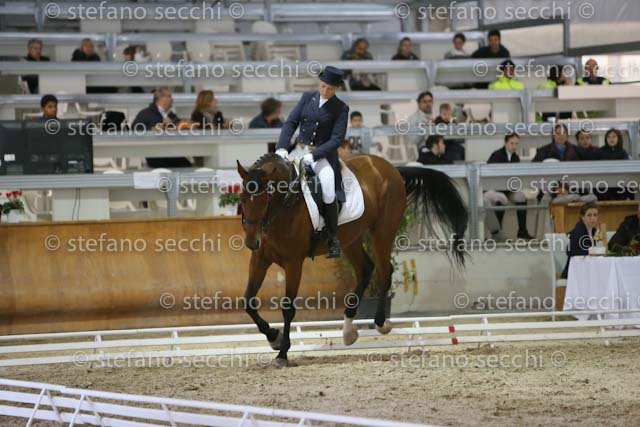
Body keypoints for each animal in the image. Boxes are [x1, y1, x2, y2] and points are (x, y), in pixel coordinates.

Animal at [236, 153, 467, 367]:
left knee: (384, 272)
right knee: (366, 269)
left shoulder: (294, 263)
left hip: (382, 232)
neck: (285, 206)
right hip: (351, 239)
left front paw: (282, 353)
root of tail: (389, 167)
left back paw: (381, 323)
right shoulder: (260, 259)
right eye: (243, 199)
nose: (252, 242)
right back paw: (348, 330)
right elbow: (248, 301)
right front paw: (273, 338)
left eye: (266, 199)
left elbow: (287, 308)